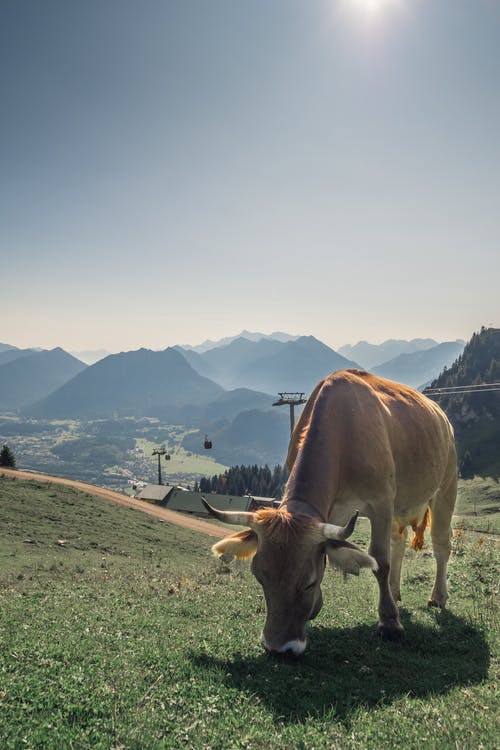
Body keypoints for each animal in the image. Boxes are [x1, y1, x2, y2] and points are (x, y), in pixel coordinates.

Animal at [203, 370, 458, 656]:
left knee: (440, 544)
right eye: (259, 577)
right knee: (399, 541)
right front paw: (317, 606)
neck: (343, 433)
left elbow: (380, 560)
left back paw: (437, 597)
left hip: (445, 486)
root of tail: (441, 414)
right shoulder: (335, 510)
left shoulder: (381, 502)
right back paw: (394, 591)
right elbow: (328, 552)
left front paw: (390, 623)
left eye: (308, 582)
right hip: (401, 504)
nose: (278, 648)